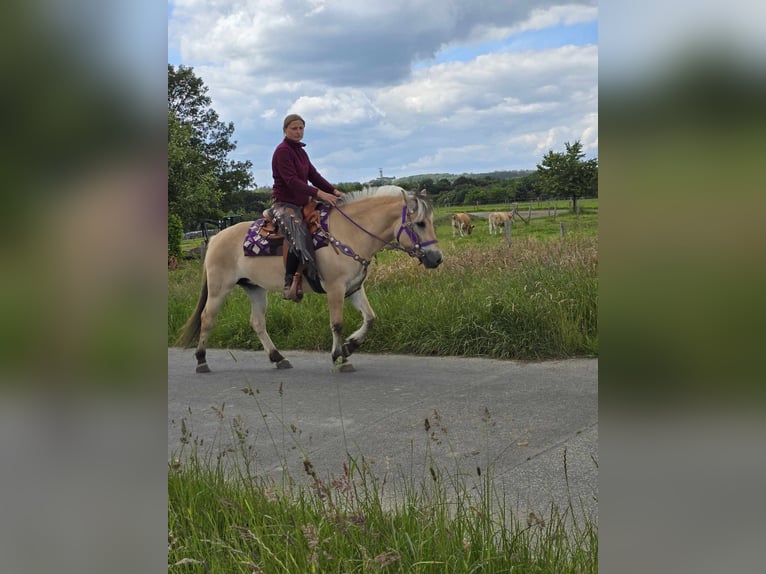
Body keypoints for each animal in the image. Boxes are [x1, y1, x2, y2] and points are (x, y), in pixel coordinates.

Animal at [176, 186, 444, 374]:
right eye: (420, 223)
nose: (437, 258)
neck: (350, 233)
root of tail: (215, 237)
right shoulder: (336, 288)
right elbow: (337, 323)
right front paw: (340, 357)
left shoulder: (353, 288)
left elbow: (370, 318)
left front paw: (350, 346)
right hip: (219, 288)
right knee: (207, 319)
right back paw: (201, 361)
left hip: (255, 289)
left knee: (257, 322)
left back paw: (278, 358)